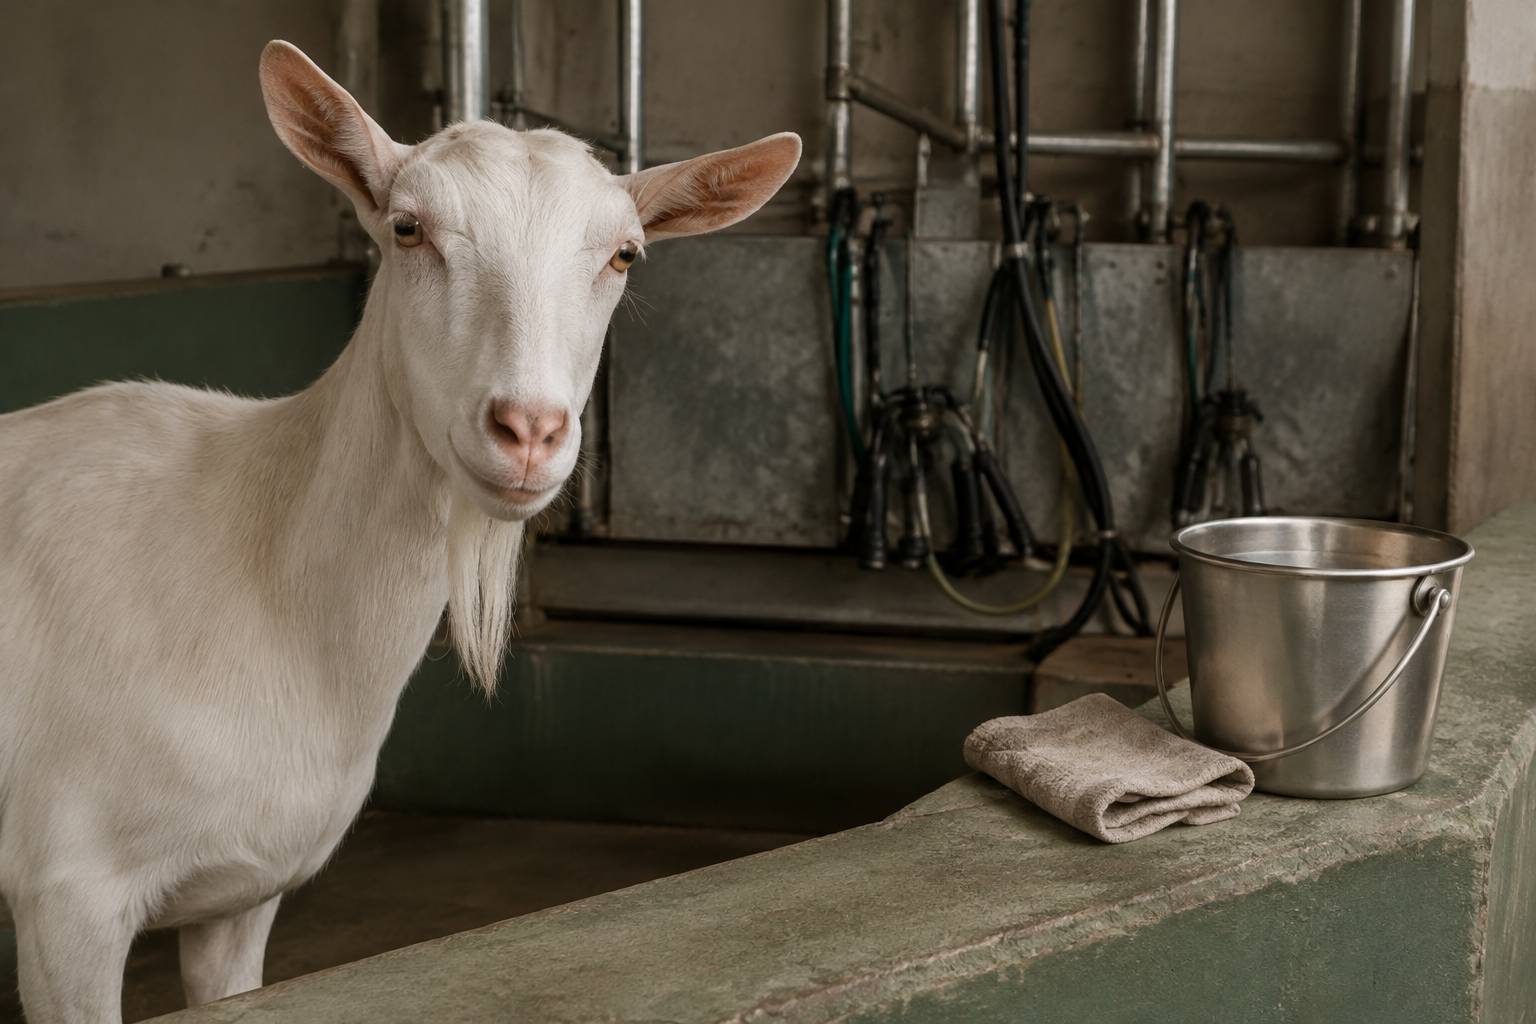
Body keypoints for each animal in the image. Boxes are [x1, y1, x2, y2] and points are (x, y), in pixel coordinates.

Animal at [0, 40, 799, 1023]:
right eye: (408, 229)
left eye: (624, 253)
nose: (528, 429)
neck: (258, 564)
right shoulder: (66, 894)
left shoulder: (241, 896)